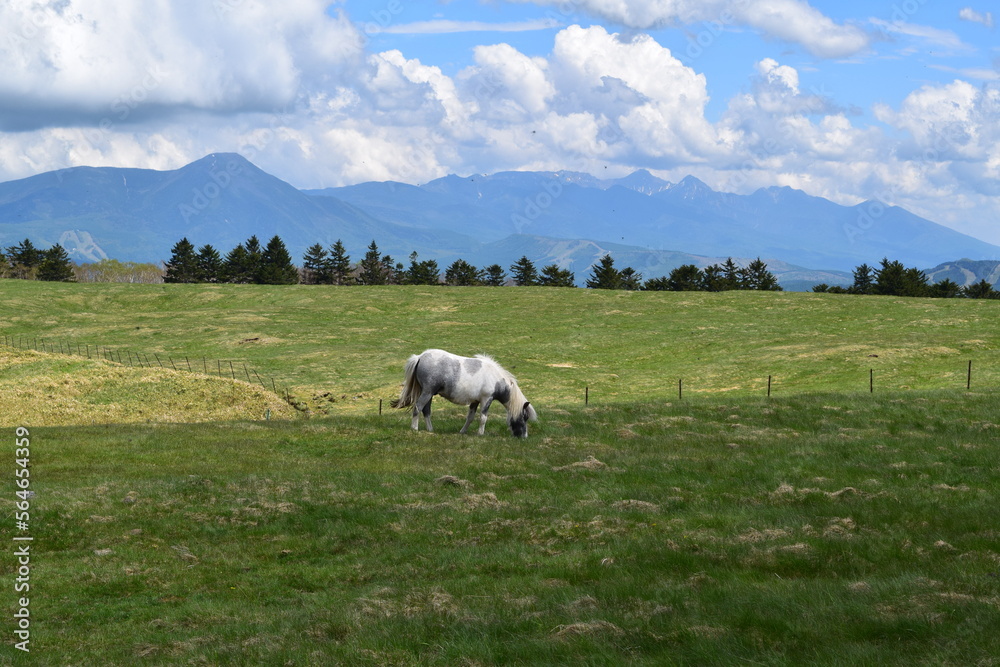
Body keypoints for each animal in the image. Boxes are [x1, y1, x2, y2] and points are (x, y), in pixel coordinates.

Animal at [388, 350, 536, 438]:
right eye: (525, 417)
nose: (524, 437)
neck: (495, 378)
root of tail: (420, 357)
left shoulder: (475, 402)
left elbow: (470, 417)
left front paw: (463, 431)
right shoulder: (486, 399)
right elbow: (483, 418)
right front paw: (480, 434)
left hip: (429, 394)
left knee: (426, 411)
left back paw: (430, 429)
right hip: (427, 392)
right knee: (418, 407)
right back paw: (415, 428)